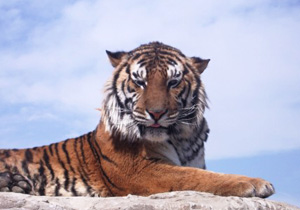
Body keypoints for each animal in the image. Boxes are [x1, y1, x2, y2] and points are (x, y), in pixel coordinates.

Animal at [0, 41, 274, 198]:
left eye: (173, 82)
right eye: (140, 82)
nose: (156, 113)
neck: (182, 139)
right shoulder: (138, 170)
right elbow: (195, 177)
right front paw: (257, 183)